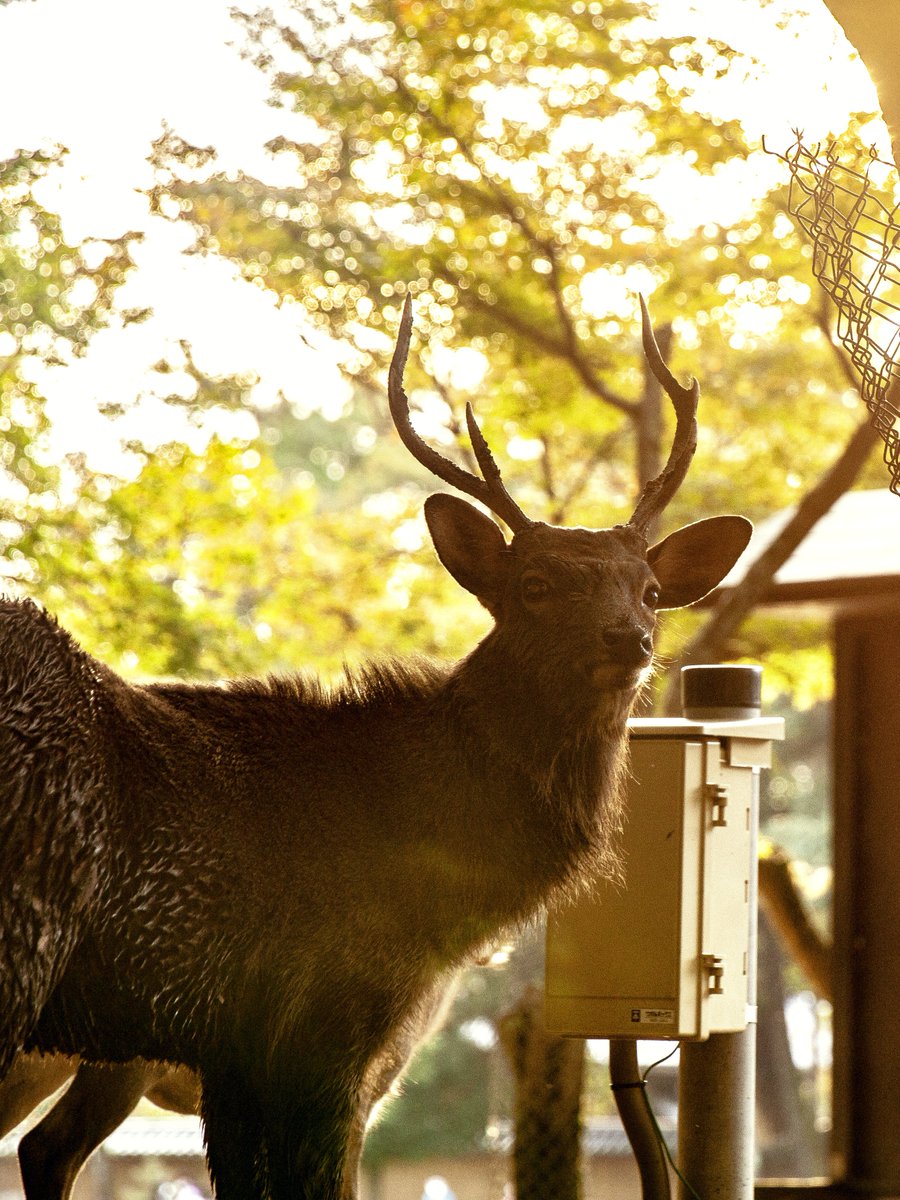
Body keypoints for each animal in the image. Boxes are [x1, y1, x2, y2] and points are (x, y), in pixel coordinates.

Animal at [0, 295, 750, 1200]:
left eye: (649, 589)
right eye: (533, 586)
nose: (629, 639)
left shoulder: (237, 1049)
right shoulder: (324, 1024)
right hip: (29, 928)